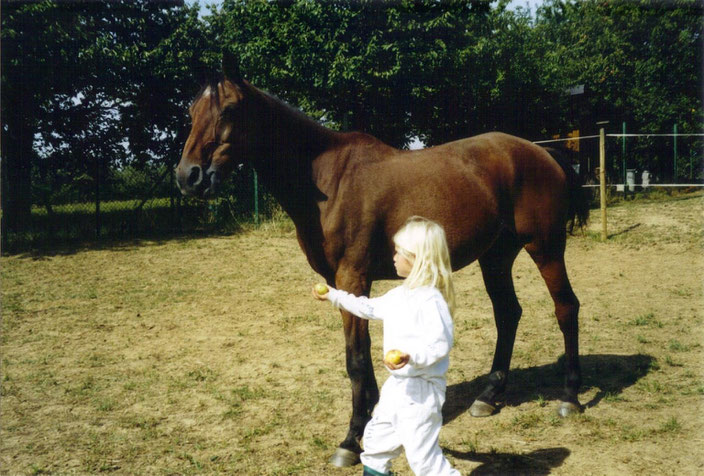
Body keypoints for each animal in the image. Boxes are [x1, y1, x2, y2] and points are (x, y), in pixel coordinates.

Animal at [175, 54, 588, 466]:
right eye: (192, 111)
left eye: (228, 109)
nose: (188, 176)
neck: (327, 180)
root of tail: (541, 151)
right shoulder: (341, 284)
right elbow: (359, 356)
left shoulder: (354, 277)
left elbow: (356, 360)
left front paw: (350, 440)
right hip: (496, 257)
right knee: (508, 313)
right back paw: (488, 396)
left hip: (546, 248)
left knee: (565, 308)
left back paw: (570, 397)